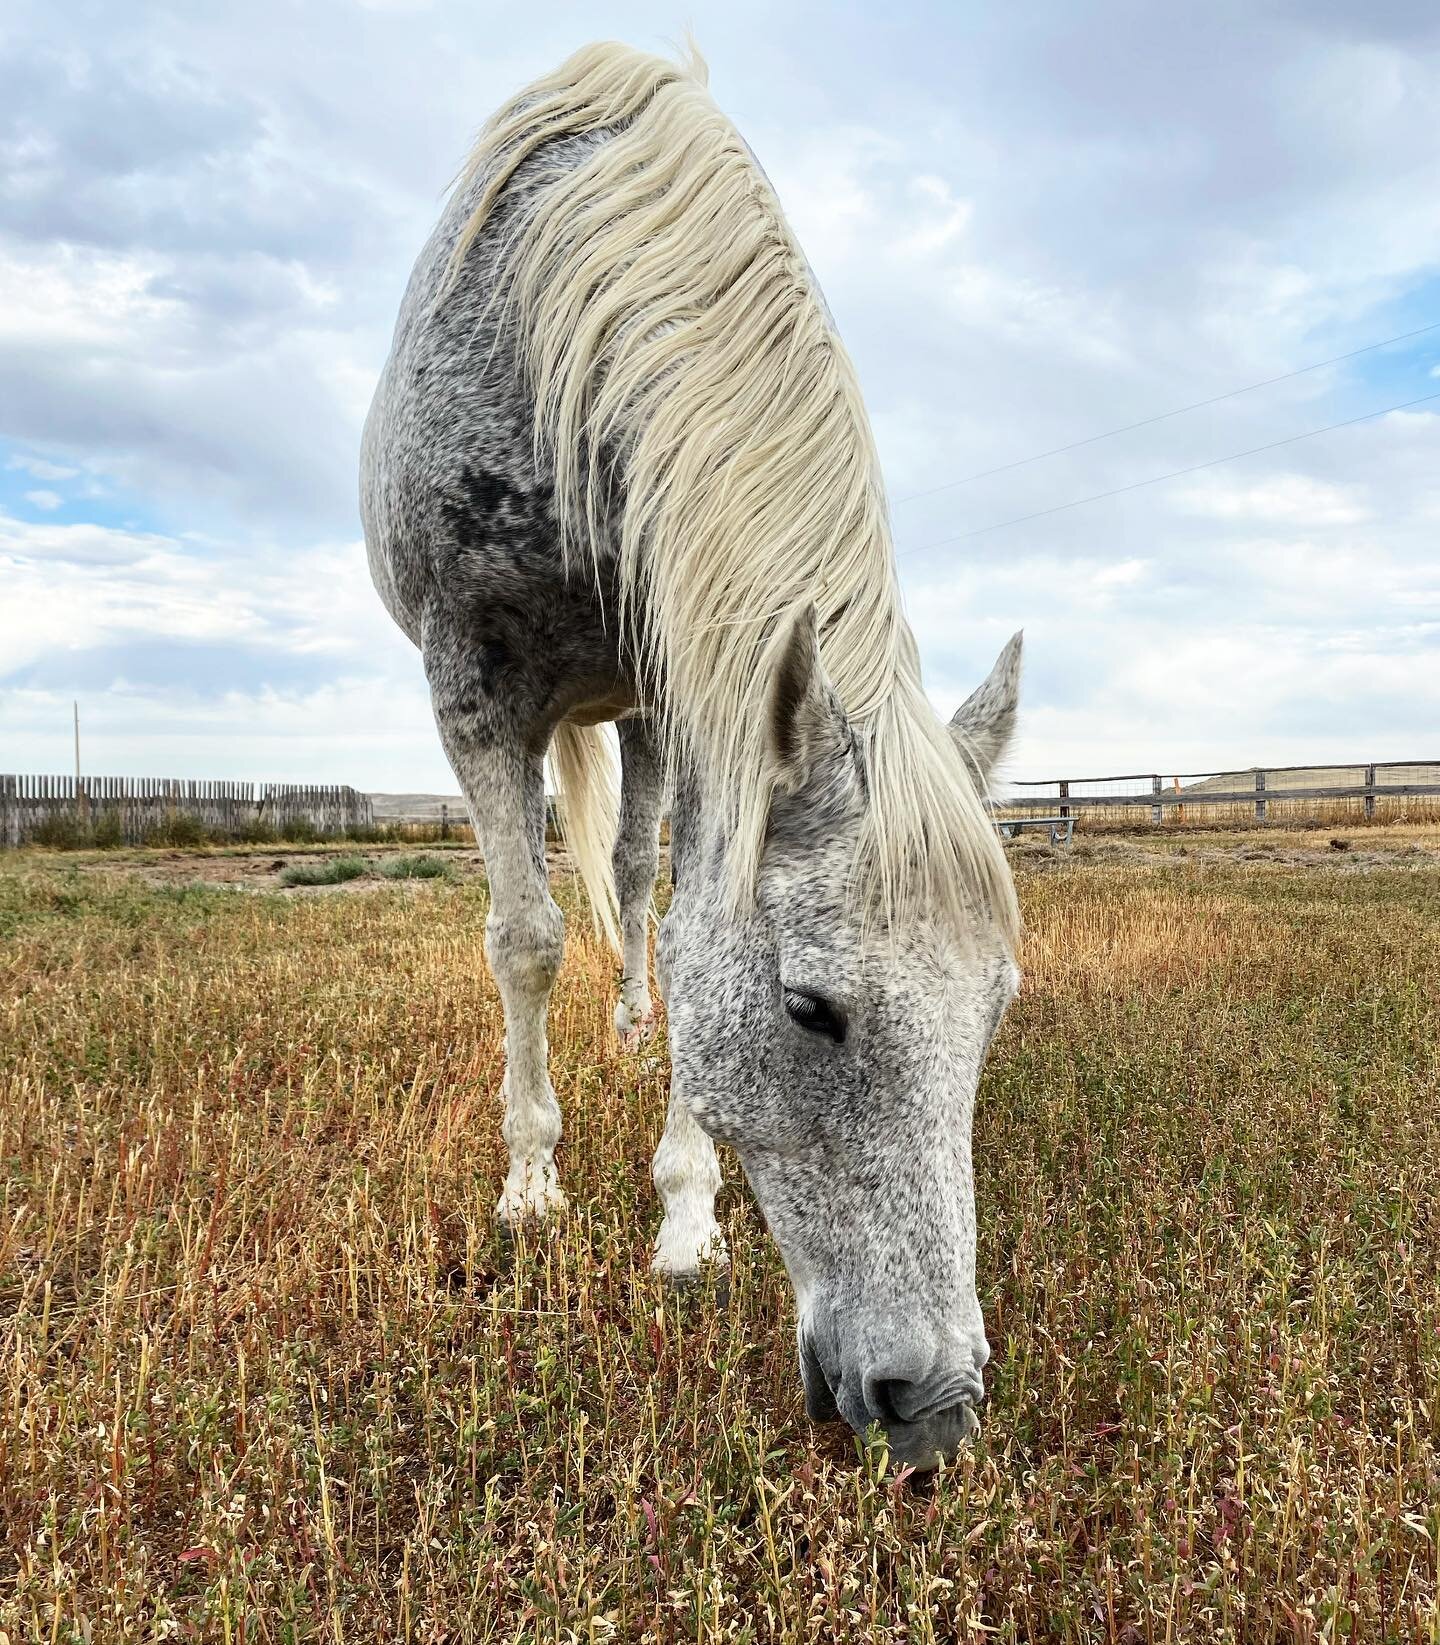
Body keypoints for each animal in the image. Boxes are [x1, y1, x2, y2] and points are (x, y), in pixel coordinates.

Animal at [365, 41, 1033, 1480]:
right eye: (811, 1008)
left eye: (996, 1011)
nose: (936, 1410)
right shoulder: (472, 692)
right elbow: (522, 939)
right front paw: (530, 1181)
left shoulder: (693, 684)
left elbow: (680, 925)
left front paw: (684, 1213)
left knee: (629, 874)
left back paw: (629, 1026)